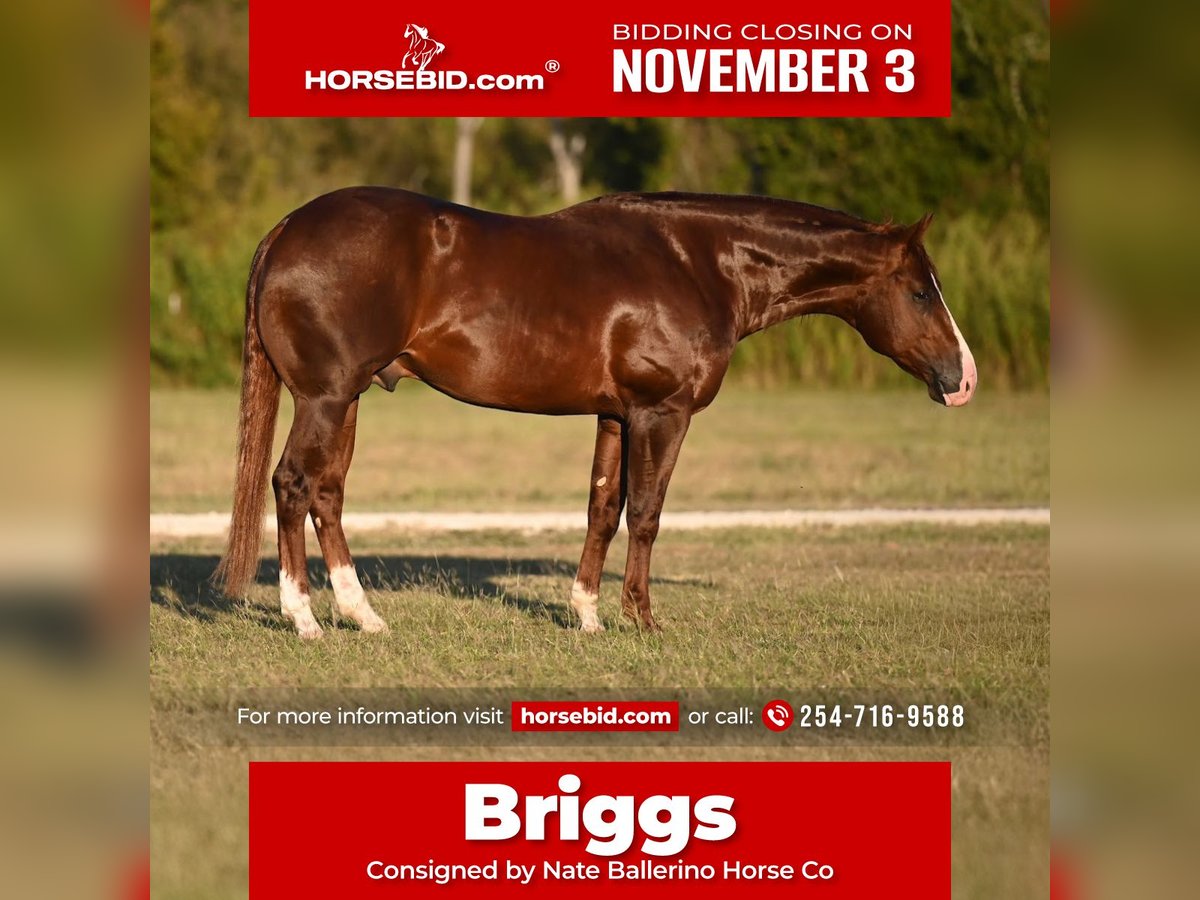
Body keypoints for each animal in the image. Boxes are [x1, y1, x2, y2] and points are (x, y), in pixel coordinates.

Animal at [213, 189, 977, 639]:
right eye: (919, 291)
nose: (962, 379)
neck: (698, 262)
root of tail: (287, 228)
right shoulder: (662, 414)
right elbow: (647, 514)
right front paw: (643, 619)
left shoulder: (616, 416)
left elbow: (604, 508)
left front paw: (587, 615)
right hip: (325, 398)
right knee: (292, 486)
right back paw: (304, 618)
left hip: (347, 400)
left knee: (327, 494)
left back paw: (363, 615)